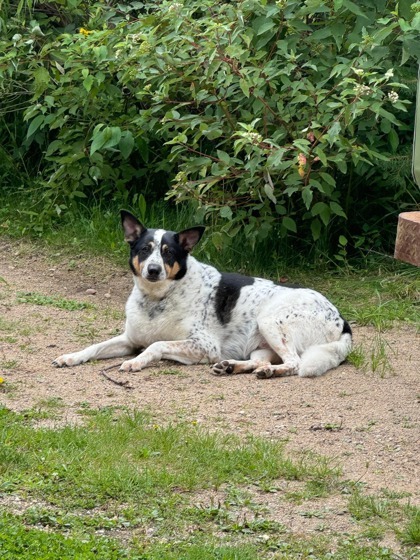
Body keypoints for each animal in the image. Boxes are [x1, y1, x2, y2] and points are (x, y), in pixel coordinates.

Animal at [54, 211, 352, 380]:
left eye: (168, 253)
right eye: (144, 249)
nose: (153, 270)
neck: (157, 300)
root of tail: (342, 320)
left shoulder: (204, 346)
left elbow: (156, 346)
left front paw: (136, 362)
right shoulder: (129, 339)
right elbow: (94, 347)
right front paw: (71, 357)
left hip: (270, 321)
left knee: (294, 363)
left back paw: (270, 372)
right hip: (261, 343)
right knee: (259, 361)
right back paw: (233, 367)